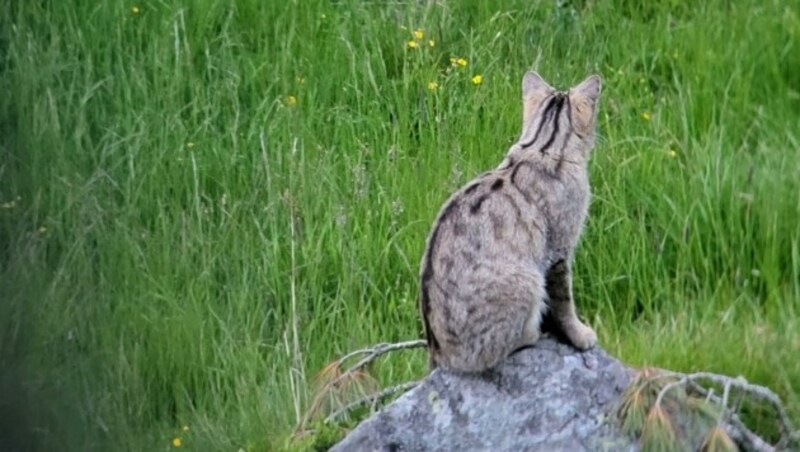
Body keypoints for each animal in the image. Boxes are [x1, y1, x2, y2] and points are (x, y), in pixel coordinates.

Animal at [418, 70, 600, 372]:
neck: (543, 145)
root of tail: (438, 355)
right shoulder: (559, 251)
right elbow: (564, 301)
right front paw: (580, 334)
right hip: (527, 280)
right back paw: (531, 333)